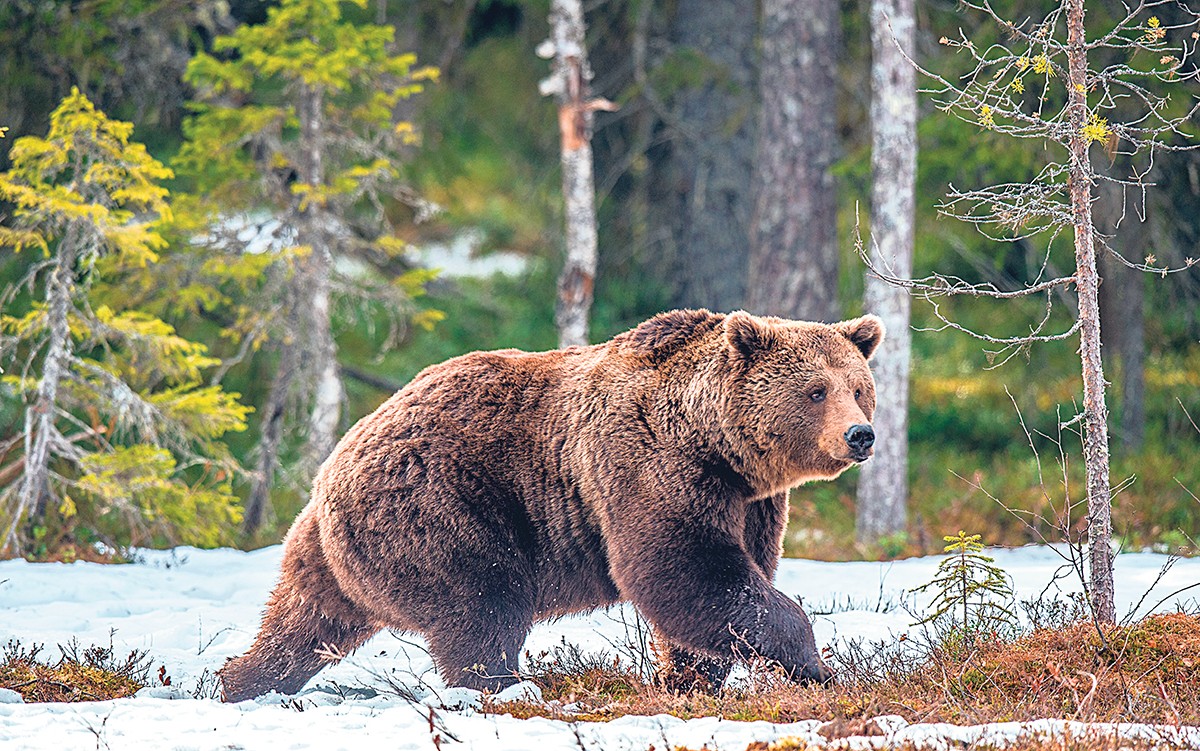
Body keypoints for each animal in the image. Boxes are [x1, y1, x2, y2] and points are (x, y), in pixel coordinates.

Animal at [220, 307, 883, 700]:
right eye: (815, 390)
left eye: (858, 388)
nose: (861, 435)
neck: (716, 443)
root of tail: (336, 459)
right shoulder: (649, 467)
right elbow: (685, 570)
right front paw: (812, 662)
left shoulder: (750, 503)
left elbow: (726, 583)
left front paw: (691, 679)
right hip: (442, 508)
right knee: (483, 605)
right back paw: (504, 687)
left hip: (331, 548)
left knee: (305, 619)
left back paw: (241, 680)